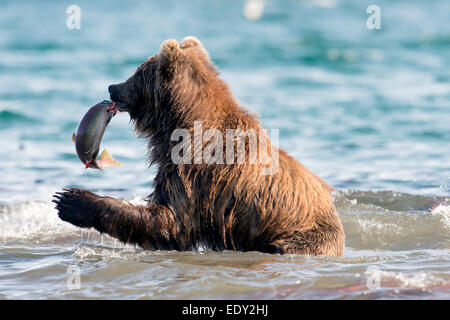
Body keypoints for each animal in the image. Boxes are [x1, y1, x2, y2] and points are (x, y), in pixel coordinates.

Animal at [55, 36, 344, 256]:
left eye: (137, 73)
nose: (112, 86)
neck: (178, 123)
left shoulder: (195, 170)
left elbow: (170, 221)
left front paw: (72, 200)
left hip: (300, 237)